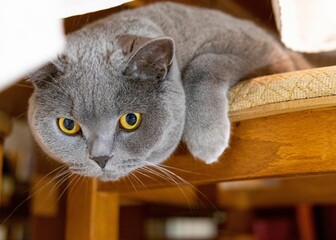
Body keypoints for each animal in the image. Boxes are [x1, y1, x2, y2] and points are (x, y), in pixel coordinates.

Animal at [28, 1, 304, 181]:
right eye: (68, 125)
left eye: (130, 120)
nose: (100, 159)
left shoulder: (260, 49)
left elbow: (203, 62)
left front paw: (207, 141)